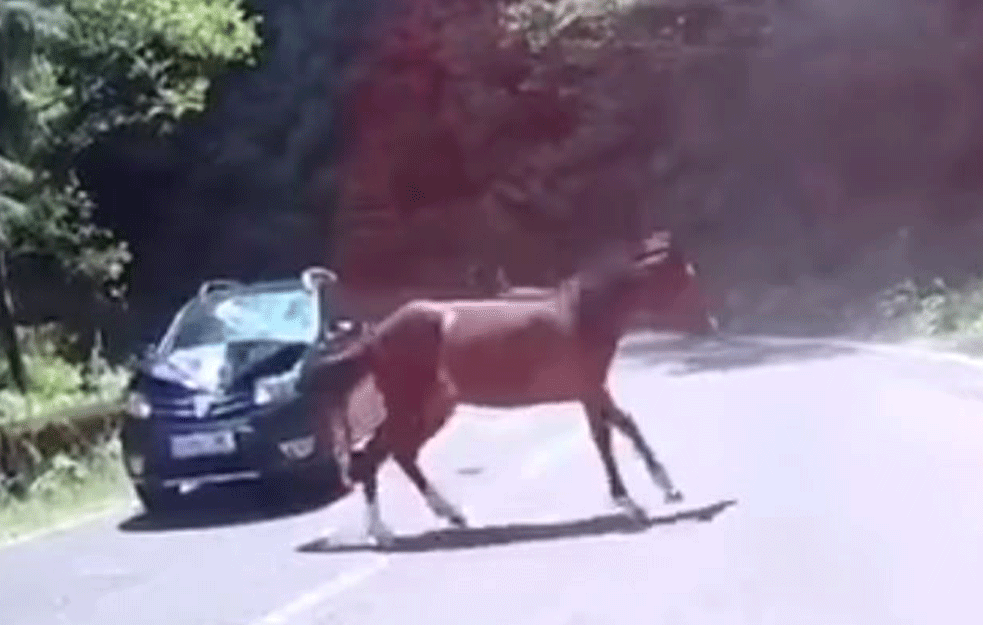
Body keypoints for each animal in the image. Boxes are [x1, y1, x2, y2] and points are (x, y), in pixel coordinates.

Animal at [304, 230, 720, 544]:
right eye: (684, 277)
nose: (713, 322)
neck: (582, 314)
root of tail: (375, 337)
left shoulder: (595, 389)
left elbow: (626, 425)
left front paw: (668, 488)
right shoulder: (588, 390)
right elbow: (603, 440)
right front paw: (630, 504)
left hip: (434, 408)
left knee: (398, 454)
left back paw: (449, 516)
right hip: (409, 405)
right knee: (372, 457)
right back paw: (383, 532)